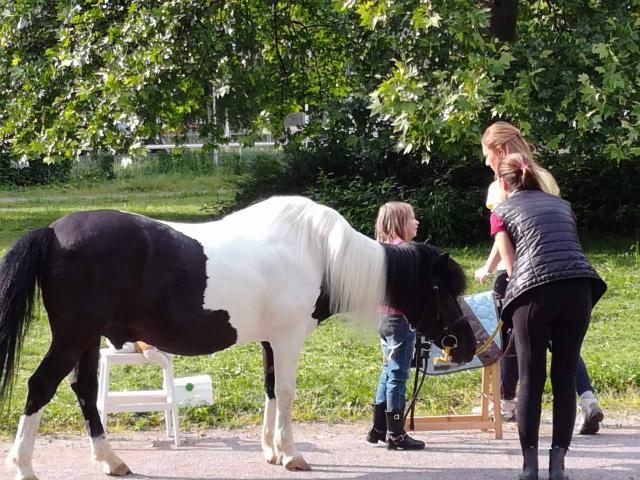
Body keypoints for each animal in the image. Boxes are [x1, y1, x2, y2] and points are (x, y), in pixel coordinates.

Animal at [1, 196, 476, 480]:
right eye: (442, 288)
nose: (466, 344)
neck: (320, 253)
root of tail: (52, 231)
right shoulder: (287, 340)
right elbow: (286, 394)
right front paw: (292, 454)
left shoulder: (270, 342)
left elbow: (270, 391)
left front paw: (271, 451)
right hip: (72, 338)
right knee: (40, 386)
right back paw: (24, 466)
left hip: (85, 341)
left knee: (82, 389)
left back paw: (110, 460)